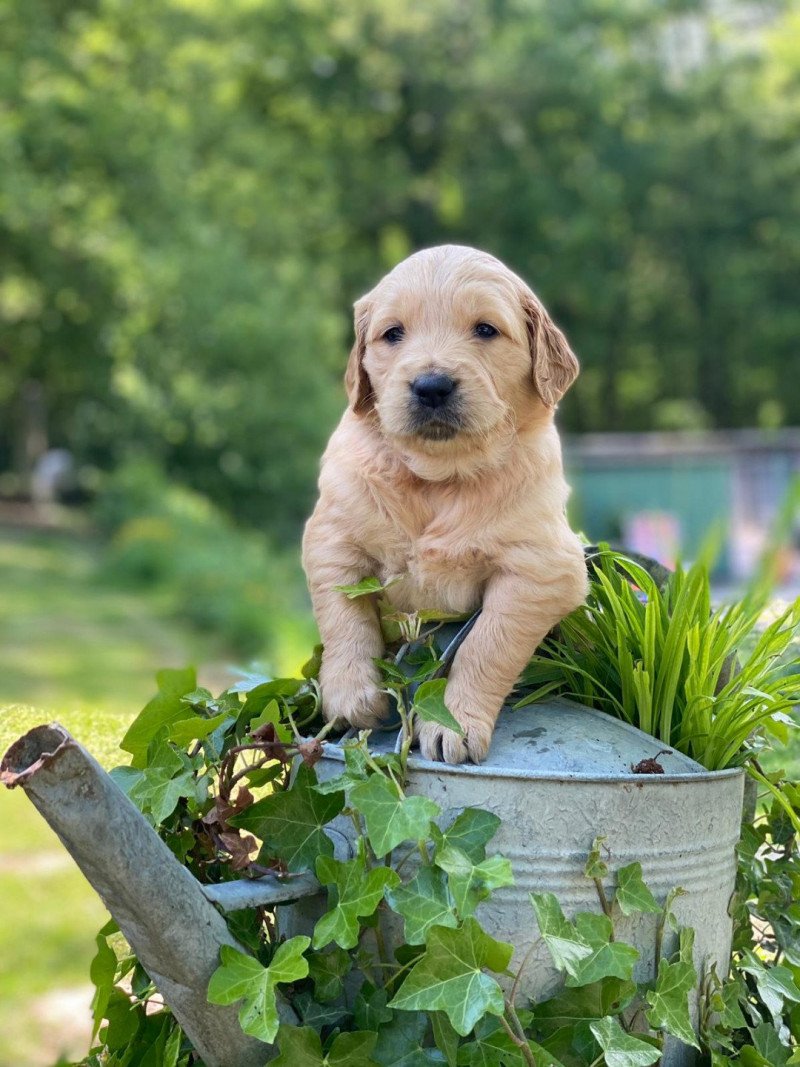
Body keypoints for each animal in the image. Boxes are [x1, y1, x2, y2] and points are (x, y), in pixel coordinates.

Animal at [302, 245, 584, 763]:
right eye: (393, 334)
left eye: (486, 330)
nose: (431, 385)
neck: (438, 478)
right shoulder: (332, 536)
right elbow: (344, 618)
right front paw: (351, 695)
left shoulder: (541, 570)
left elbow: (486, 643)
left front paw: (455, 723)